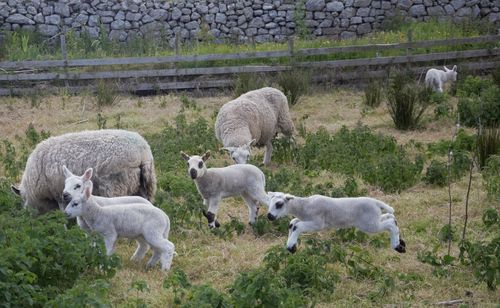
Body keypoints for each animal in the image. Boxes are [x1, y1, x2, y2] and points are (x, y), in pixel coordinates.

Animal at [266, 191, 406, 254]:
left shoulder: (317, 223)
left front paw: (291, 247)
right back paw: (401, 243)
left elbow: (297, 226)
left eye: (279, 204)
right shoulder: (305, 219)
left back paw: (397, 246)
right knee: (391, 217)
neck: (305, 207)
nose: (269, 216)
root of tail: (376, 203)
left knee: (390, 224)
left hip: (369, 224)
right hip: (374, 219)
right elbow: (292, 223)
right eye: (270, 203)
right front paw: (292, 245)